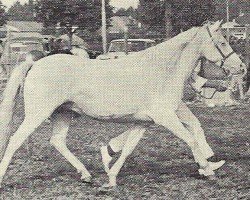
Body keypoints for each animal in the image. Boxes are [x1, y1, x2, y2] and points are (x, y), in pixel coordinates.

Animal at [0, 21, 244, 188]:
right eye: (223, 42)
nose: (241, 67)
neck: (162, 70)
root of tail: (36, 62)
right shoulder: (165, 117)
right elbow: (190, 139)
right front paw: (208, 170)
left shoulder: (143, 122)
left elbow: (127, 149)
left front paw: (111, 178)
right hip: (38, 114)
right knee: (15, 140)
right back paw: (3, 177)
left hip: (63, 113)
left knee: (57, 141)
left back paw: (86, 175)